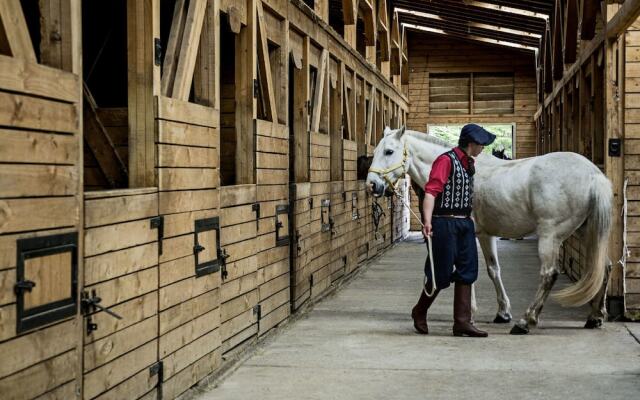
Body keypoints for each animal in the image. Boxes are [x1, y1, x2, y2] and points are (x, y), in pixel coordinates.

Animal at [368, 126, 612, 332]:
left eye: (389, 151)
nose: (372, 185)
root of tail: (593, 174)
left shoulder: (472, 235)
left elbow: (467, 271)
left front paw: (471, 314)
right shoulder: (488, 235)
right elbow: (493, 270)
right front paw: (502, 313)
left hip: (550, 236)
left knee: (549, 274)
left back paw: (526, 321)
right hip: (585, 231)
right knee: (605, 266)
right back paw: (595, 316)